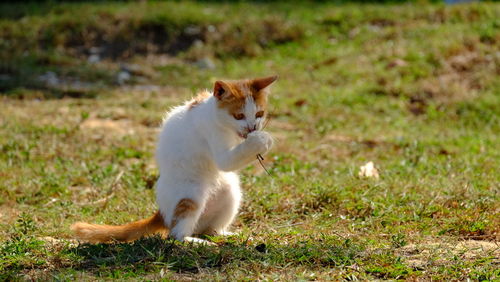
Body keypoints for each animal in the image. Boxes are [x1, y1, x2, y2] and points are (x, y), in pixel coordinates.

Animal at [70, 75, 278, 242]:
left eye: (259, 114)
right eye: (239, 116)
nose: (252, 127)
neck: (216, 115)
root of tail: (162, 213)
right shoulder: (212, 135)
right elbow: (227, 160)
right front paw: (263, 139)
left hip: (230, 190)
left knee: (209, 229)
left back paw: (224, 235)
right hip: (190, 194)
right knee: (176, 234)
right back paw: (195, 242)